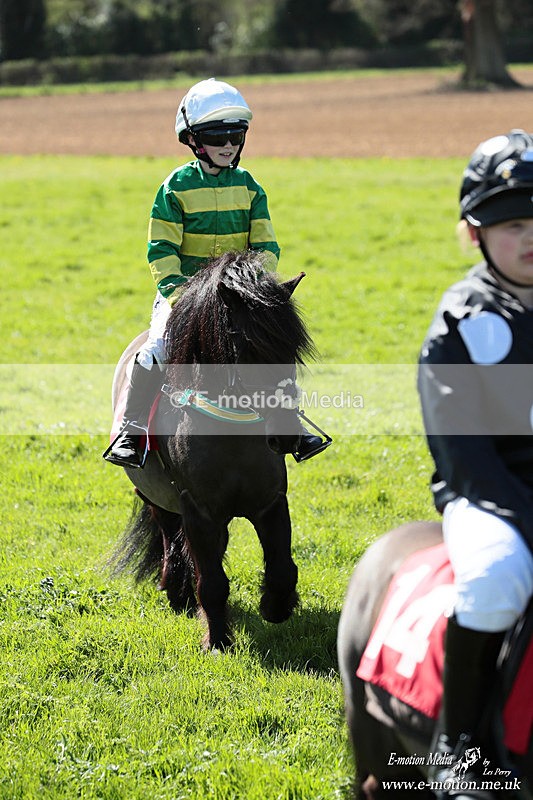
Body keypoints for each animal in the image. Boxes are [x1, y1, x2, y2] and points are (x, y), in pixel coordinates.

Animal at [109, 251, 318, 651]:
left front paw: (275, 607)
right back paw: (178, 594)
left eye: (292, 349)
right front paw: (218, 641)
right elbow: (212, 581)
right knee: (171, 539)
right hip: (156, 497)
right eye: (249, 347)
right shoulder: (198, 509)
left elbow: (283, 568)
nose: (285, 436)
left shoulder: (270, 502)